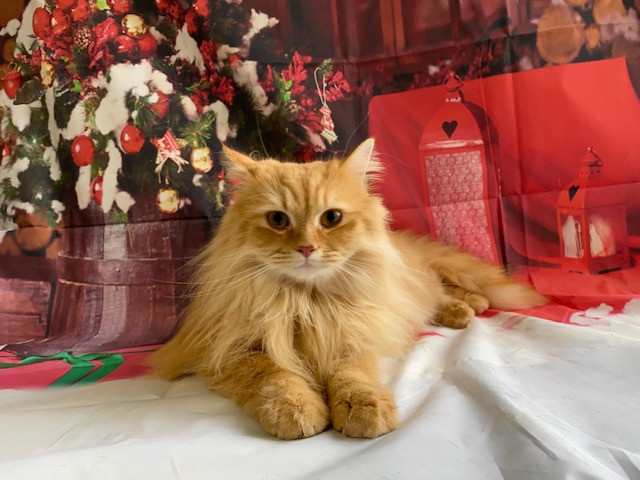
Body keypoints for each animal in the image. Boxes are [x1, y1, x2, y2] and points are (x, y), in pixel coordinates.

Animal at [148, 138, 547, 440]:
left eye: (331, 218)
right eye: (277, 219)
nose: (306, 248)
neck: (304, 303)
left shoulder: (351, 334)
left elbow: (351, 375)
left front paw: (362, 407)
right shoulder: (224, 350)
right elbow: (273, 374)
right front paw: (296, 408)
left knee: (441, 292)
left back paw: (467, 308)